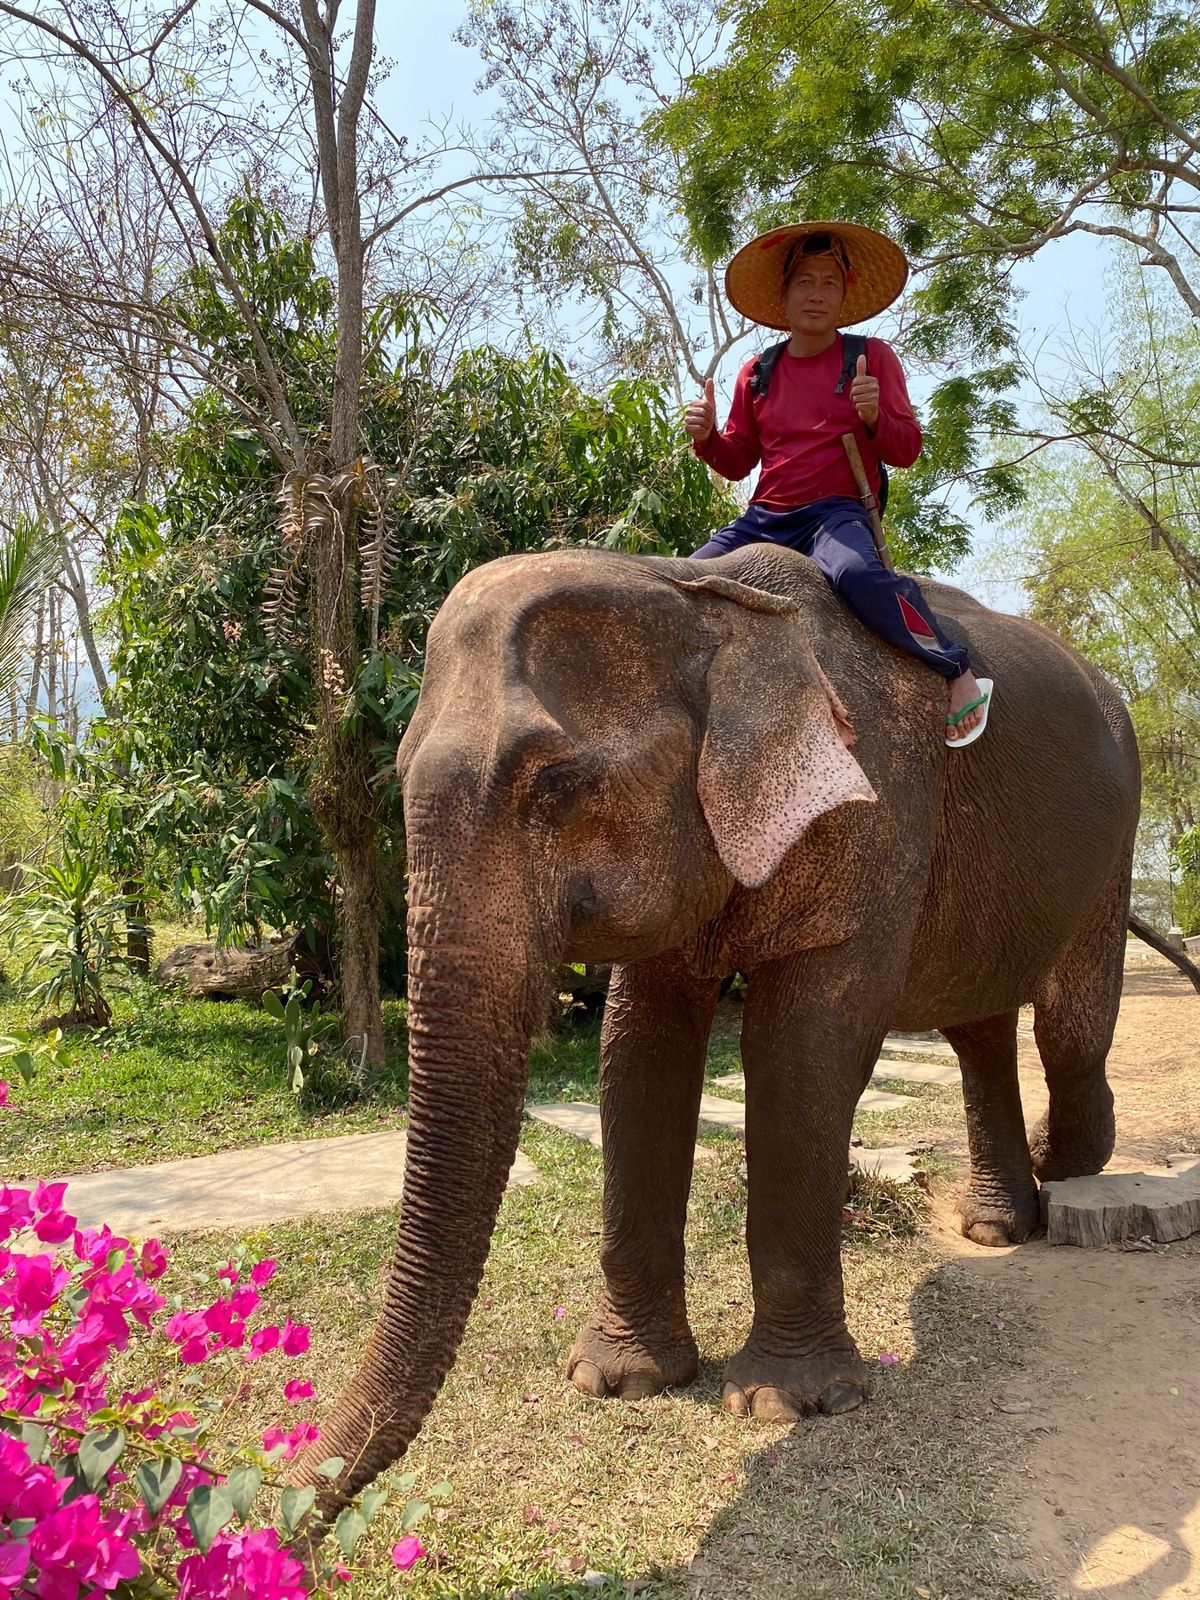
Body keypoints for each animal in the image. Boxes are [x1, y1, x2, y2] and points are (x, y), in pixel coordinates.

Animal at [302, 541, 1139, 1510]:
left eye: (556, 787)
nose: (295, 1514)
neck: (703, 599)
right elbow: (637, 1054)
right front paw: (620, 1380)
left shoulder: (877, 806)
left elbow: (801, 1052)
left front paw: (788, 1403)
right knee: (979, 1022)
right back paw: (999, 1226)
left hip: (1114, 840)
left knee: (1068, 1027)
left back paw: (1063, 1168)